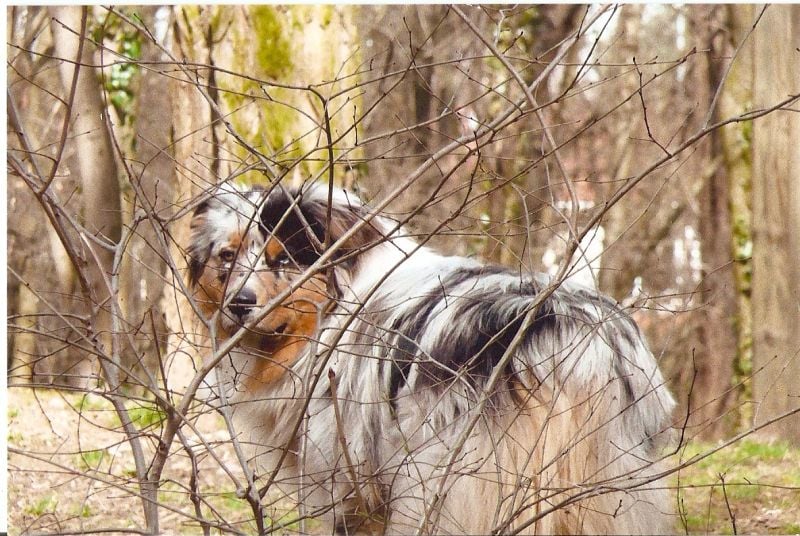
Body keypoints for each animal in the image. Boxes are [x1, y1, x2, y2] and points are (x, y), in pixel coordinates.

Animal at [188, 182, 676, 532]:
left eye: (284, 259)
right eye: (228, 256)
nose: (239, 304)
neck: (339, 310)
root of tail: (577, 339)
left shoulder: (339, 477)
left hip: (446, 478)